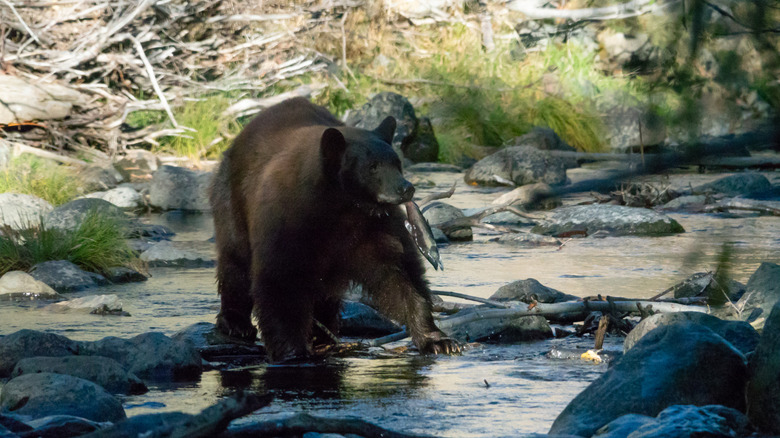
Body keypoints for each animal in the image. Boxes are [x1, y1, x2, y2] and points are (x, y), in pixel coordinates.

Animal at [210, 96, 460, 362]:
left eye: (397, 163)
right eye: (373, 166)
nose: (406, 188)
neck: (339, 205)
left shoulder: (375, 228)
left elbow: (400, 275)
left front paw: (439, 340)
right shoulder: (286, 222)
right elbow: (279, 281)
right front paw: (292, 351)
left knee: (324, 293)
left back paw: (324, 332)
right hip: (232, 203)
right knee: (236, 262)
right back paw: (236, 322)